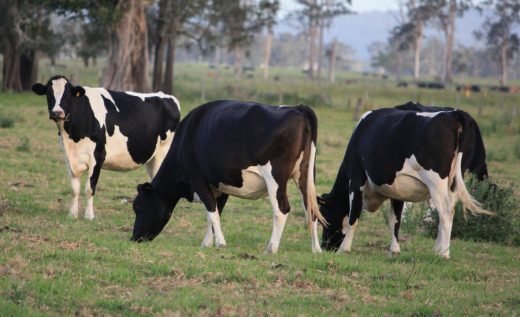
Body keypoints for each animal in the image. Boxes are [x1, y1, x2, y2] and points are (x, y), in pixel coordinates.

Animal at [32, 76, 181, 220]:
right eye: (49, 94)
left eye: (68, 95)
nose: (57, 113)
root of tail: (167, 96)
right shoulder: (69, 158)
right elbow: (75, 189)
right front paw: (72, 214)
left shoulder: (97, 156)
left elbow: (89, 188)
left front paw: (89, 216)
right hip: (152, 158)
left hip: (164, 153)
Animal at [130, 100, 324, 253]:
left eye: (138, 206)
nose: (134, 238)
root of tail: (298, 109)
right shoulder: (220, 185)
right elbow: (215, 212)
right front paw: (208, 242)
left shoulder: (198, 179)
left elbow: (212, 211)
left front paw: (220, 243)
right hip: (306, 176)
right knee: (310, 209)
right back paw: (316, 249)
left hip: (275, 177)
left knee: (282, 209)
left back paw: (271, 248)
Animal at [316, 102, 492, 258]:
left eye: (325, 218)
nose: (326, 246)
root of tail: (456, 114)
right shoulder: (398, 190)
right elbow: (395, 220)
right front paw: (394, 250)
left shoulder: (356, 179)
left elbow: (354, 216)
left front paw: (344, 249)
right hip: (455, 180)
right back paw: (436, 250)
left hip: (437, 182)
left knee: (446, 212)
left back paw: (443, 253)